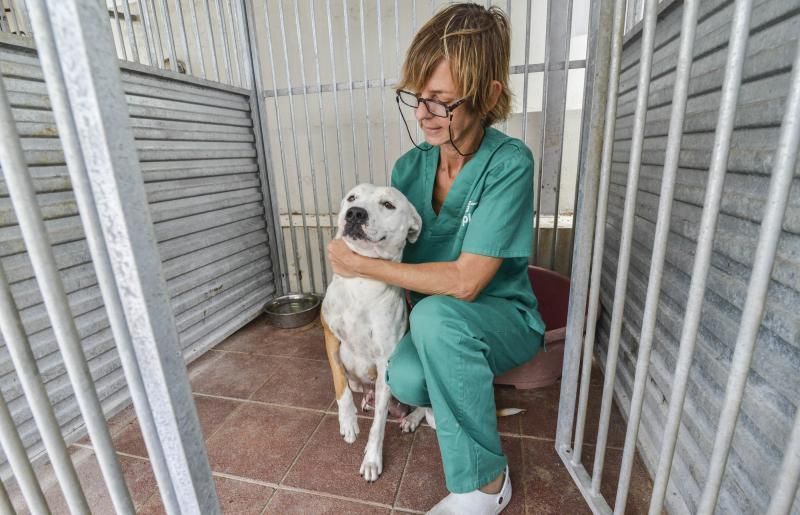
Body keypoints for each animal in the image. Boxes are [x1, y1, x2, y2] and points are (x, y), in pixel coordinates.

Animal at [322, 183, 432, 482]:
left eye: (388, 204)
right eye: (352, 197)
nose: (355, 213)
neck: (361, 283)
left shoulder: (386, 364)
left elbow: (379, 425)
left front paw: (372, 459)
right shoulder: (330, 339)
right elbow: (339, 386)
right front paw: (348, 422)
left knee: (423, 405)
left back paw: (412, 418)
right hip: (358, 379)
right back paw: (366, 403)